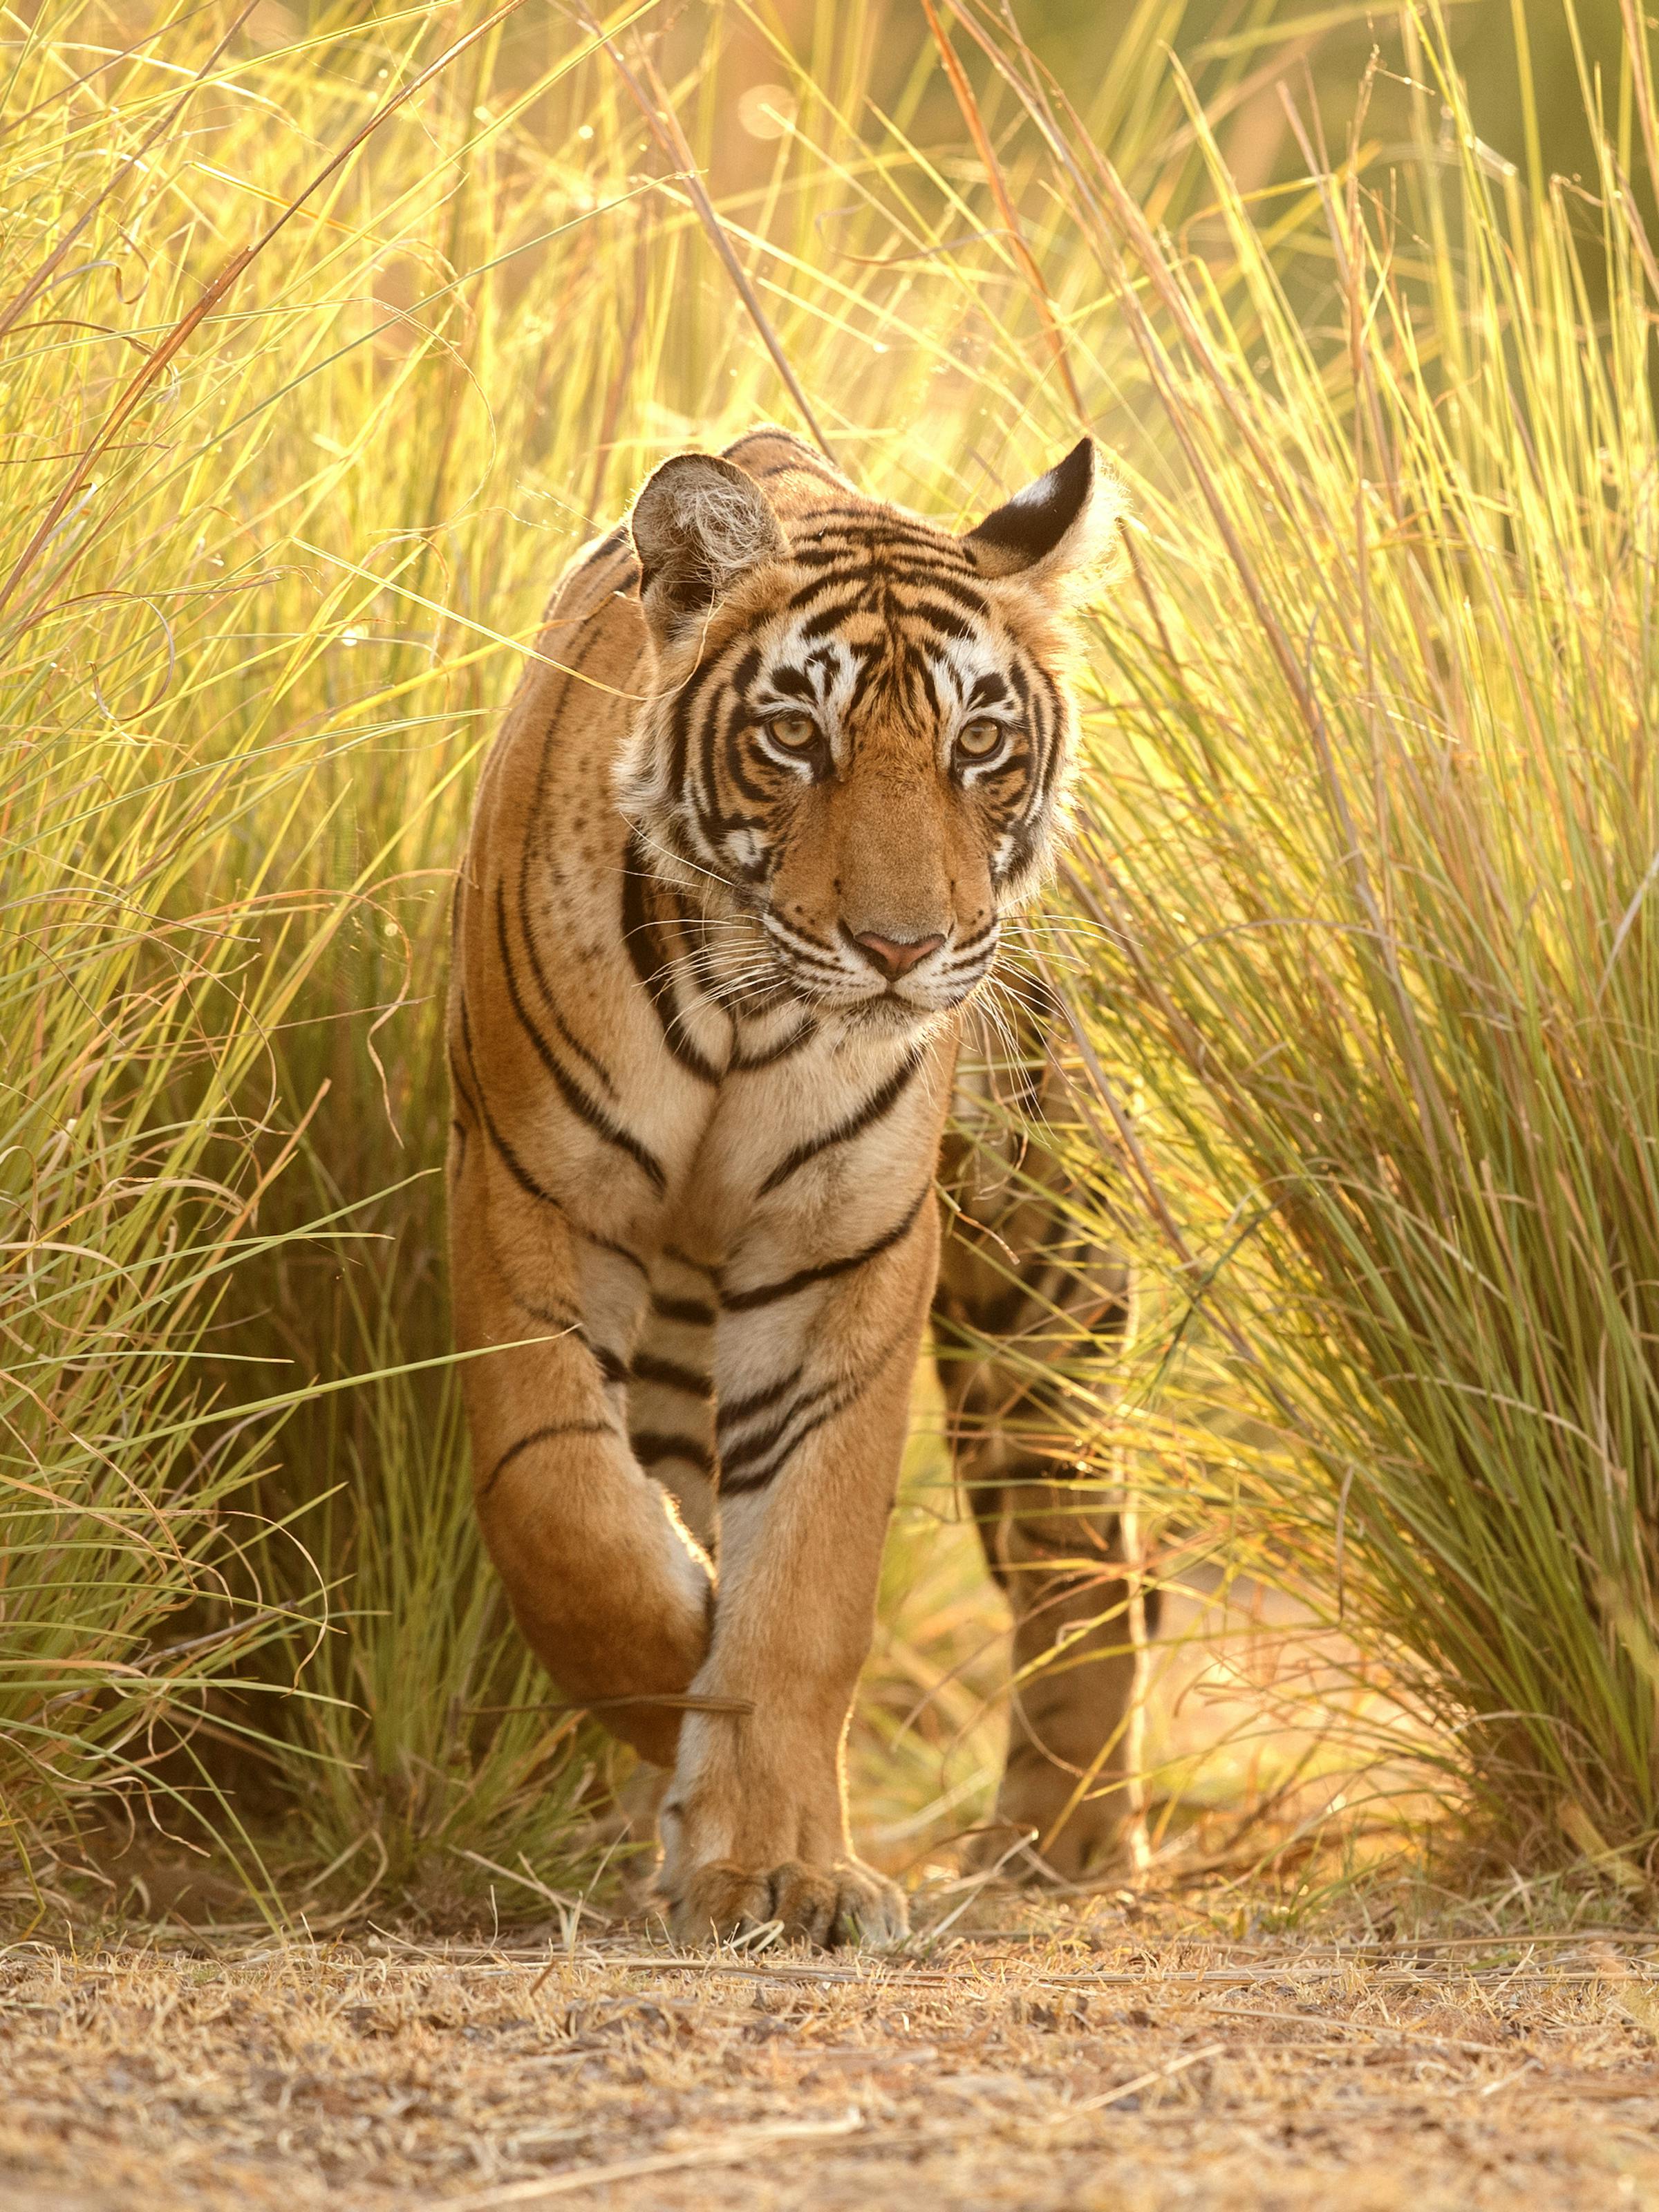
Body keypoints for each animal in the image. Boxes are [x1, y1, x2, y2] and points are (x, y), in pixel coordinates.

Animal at [446, 424, 1145, 1947]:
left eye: (978, 743)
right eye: (794, 737)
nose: (903, 947)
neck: (747, 1008)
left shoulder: (843, 1252)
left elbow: (806, 1581)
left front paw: (779, 1866)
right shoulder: (536, 1201)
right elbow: (569, 1517)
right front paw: (685, 1700)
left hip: (1043, 1286)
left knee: (1089, 1557)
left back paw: (1055, 1842)